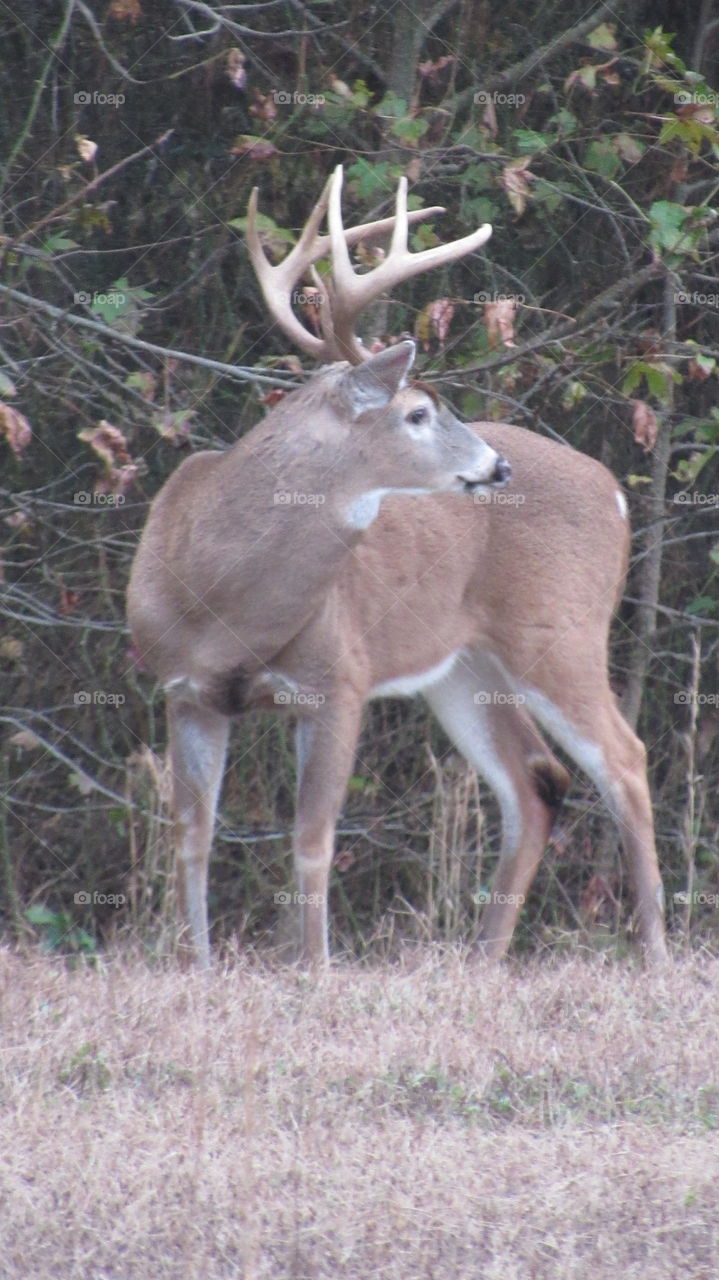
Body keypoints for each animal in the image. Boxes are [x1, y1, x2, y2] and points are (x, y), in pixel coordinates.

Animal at [127, 166, 668, 970]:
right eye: (416, 413)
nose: (495, 465)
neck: (222, 600)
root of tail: (615, 493)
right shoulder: (184, 690)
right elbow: (192, 838)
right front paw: (199, 966)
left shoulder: (339, 679)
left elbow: (312, 841)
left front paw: (313, 970)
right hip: (461, 666)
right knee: (534, 781)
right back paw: (482, 963)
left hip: (560, 631)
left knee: (625, 759)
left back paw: (656, 954)